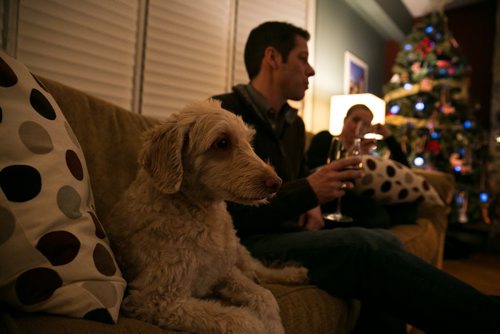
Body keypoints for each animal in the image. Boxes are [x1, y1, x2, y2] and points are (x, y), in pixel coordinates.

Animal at [107, 100, 306, 334]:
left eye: (248, 142)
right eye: (222, 142)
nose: (277, 183)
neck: (198, 210)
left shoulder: (224, 272)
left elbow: (265, 296)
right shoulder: (158, 299)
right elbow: (243, 320)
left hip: (238, 253)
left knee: (258, 269)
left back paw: (292, 273)